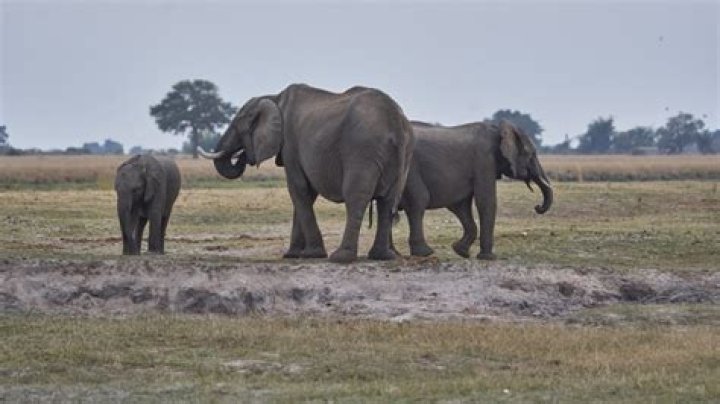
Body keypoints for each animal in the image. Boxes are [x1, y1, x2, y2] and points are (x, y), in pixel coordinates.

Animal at [198, 84, 414, 263]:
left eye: (237, 124)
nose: (242, 155)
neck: (273, 98)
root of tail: (395, 122)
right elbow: (305, 194)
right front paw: (292, 255)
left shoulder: (291, 145)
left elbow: (298, 189)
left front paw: (312, 255)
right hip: (403, 154)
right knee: (387, 201)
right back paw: (382, 256)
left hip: (362, 149)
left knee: (356, 198)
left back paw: (341, 257)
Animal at [392, 120, 553, 259]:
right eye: (532, 154)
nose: (538, 207)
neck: (498, 130)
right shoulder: (484, 160)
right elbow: (486, 201)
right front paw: (488, 258)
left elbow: (460, 206)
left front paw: (461, 251)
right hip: (408, 169)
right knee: (418, 201)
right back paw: (424, 253)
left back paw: (395, 254)